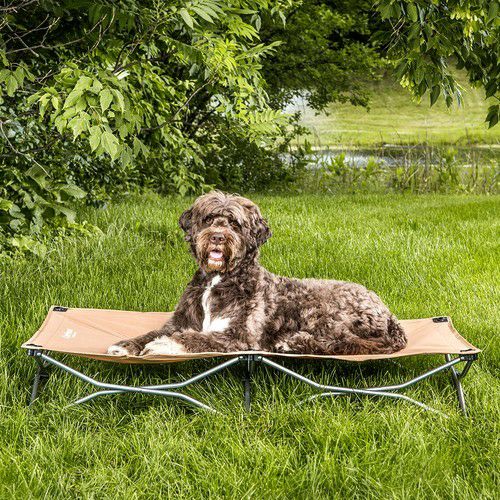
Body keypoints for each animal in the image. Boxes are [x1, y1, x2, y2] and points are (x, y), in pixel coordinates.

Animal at [107, 191, 407, 356]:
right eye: (208, 219)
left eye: (235, 224)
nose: (217, 237)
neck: (218, 281)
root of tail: (388, 313)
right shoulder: (180, 321)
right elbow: (151, 333)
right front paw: (127, 344)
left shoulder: (241, 336)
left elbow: (195, 338)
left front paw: (164, 345)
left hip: (324, 311)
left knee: (346, 343)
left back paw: (293, 343)